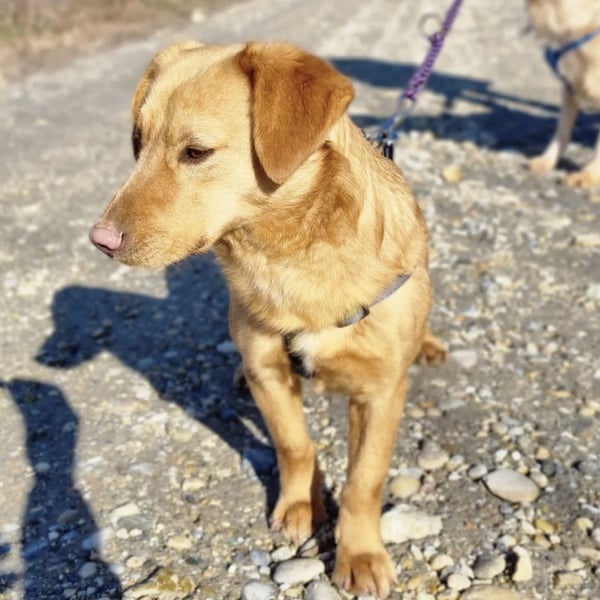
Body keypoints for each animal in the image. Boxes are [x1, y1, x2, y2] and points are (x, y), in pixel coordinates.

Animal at [89, 41, 446, 598]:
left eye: (196, 152)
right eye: (137, 142)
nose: (99, 241)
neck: (290, 260)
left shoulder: (382, 392)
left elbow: (363, 481)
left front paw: (360, 553)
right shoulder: (270, 372)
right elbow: (294, 445)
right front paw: (300, 506)